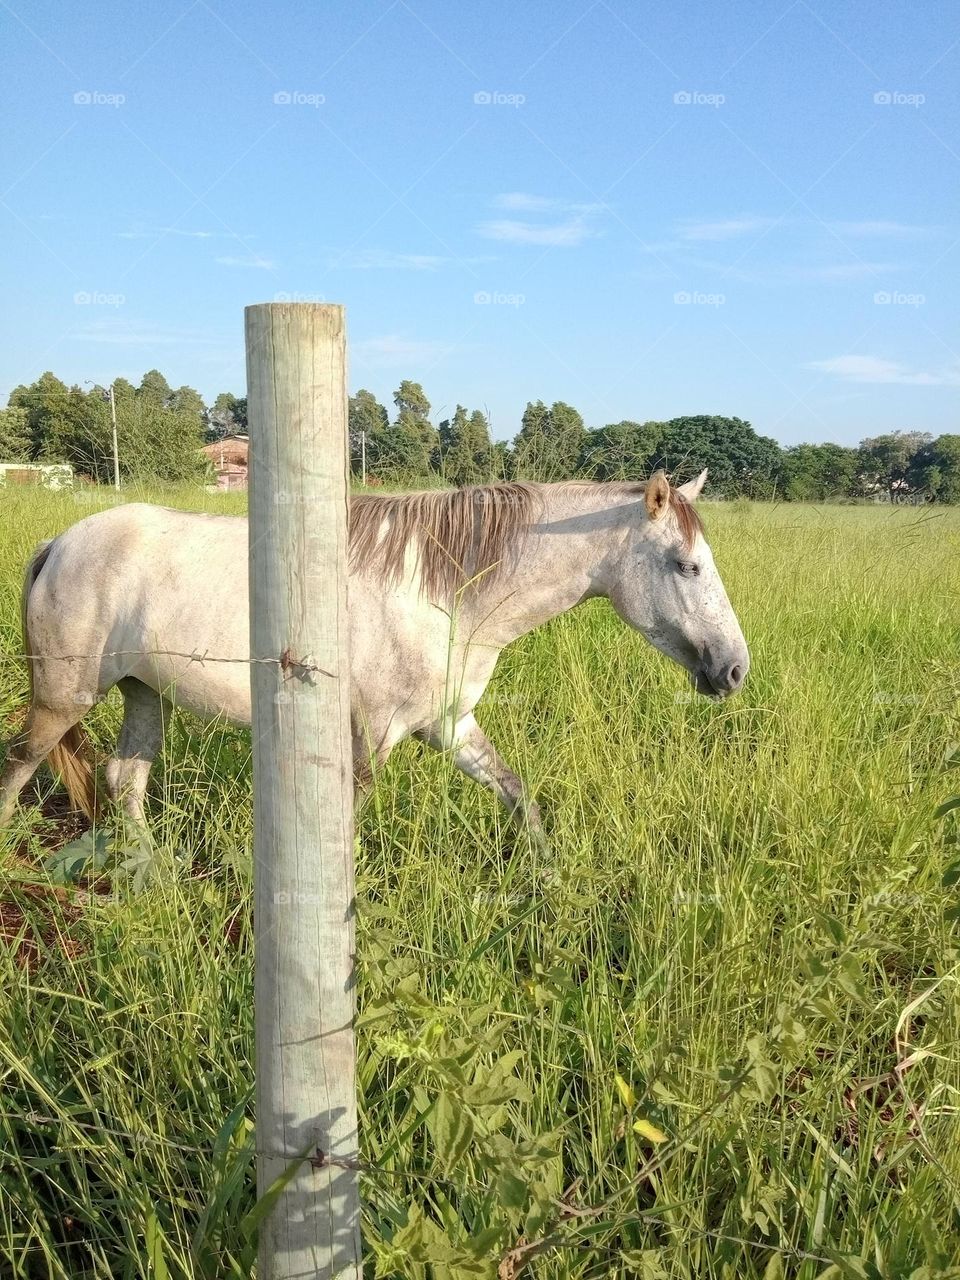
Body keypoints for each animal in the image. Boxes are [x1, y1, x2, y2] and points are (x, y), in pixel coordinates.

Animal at [0, 470, 748, 834]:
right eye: (687, 566)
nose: (734, 669)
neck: (442, 593)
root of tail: (61, 543)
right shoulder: (371, 740)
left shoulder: (449, 727)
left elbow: (519, 798)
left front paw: (549, 882)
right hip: (65, 697)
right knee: (20, 767)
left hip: (144, 693)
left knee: (124, 779)